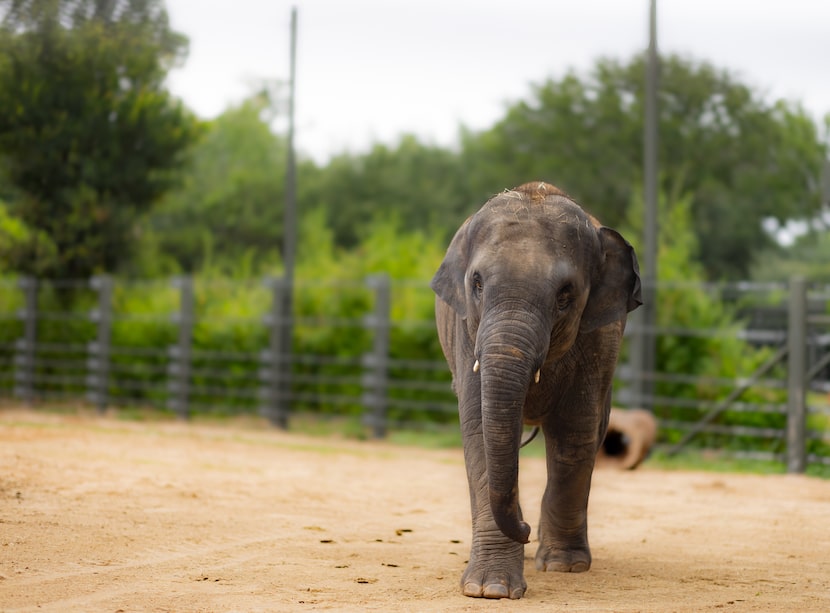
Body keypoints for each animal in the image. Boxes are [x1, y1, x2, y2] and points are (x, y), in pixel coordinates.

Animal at [431, 182, 641, 599]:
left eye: (565, 294)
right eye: (476, 283)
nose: (524, 531)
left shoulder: (598, 338)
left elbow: (574, 430)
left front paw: (563, 566)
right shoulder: (467, 331)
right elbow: (479, 431)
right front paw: (490, 589)